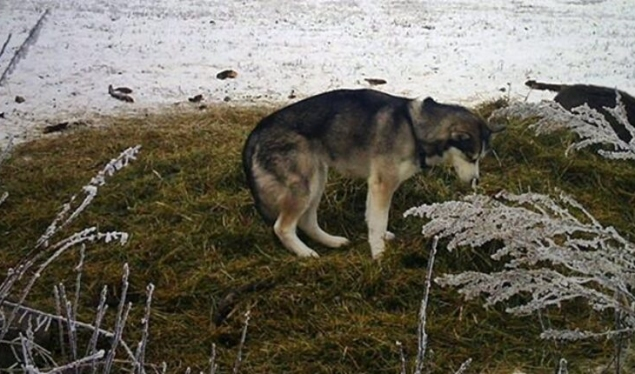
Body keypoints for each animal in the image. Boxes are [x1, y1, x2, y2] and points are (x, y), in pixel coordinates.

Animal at [243, 90, 506, 260]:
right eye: (471, 157)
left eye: (480, 158)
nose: (475, 181)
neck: (415, 129)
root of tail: (257, 130)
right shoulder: (383, 183)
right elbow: (379, 220)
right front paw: (379, 254)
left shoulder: (375, 182)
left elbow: (372, 218)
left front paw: (378, 240)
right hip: (303, 185)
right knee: (283, 227)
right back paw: (305, 252)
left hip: (317, 179)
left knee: (307, 221)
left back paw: (332, 241)